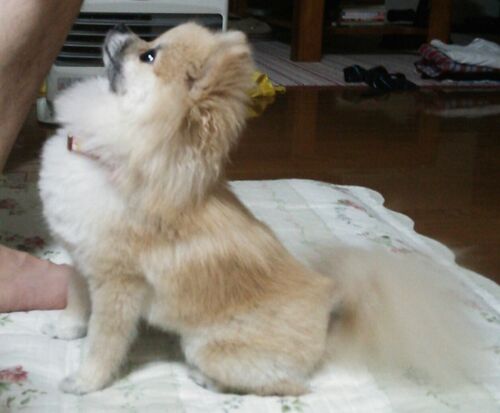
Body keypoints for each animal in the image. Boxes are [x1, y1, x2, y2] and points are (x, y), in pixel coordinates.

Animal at [39, 23, 488, 396]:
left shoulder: (119, 285)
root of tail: (328, 321)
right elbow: (75, 297)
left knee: (286, 387)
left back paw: (206, 380)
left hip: (209, 346)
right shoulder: (80, 256)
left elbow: (104, 341)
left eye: (148, 54)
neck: (109, 153)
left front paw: (85, 381)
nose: (117, 26)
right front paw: (67, 328)